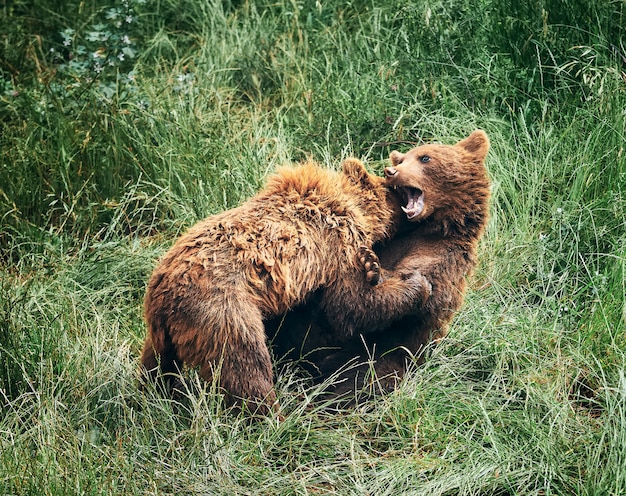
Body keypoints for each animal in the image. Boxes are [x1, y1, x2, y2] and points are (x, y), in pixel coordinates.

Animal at [141, 158, 426, 410]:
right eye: (397, 192)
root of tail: (163, 293)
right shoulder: (339, 244)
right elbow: (350, 306)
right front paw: (415, 284)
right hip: (222, 311)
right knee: (244, 366)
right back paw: (272, 415)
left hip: (161, 330)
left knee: (156, 364)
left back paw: (152, 393)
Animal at [266, 129, 490, 400]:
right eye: (401, 159)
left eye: (425, 157)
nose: (391, 171)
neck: (430, 228)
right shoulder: (389, 242)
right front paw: (371, 263)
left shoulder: (443, 257)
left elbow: (370, 305)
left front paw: (373, 267)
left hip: (375, 360)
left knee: (359, 384)